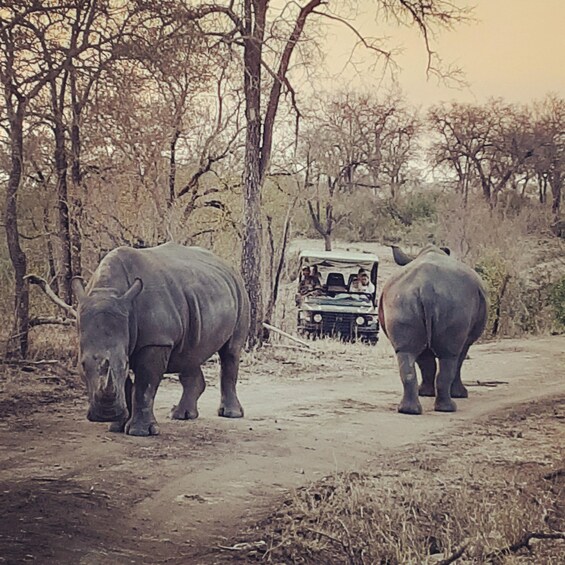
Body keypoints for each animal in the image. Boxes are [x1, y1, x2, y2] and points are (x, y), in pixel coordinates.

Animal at [72, 242, 249, 436]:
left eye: (126, 364)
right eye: (82, 365)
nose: (105, 415)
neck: (107, 291)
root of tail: (228, 265)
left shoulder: (156, 340)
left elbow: (144, 385)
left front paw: (140, 432)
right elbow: (126, 385)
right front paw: (117, 426)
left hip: (240, 291)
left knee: (230, 352)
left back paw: (230, 414)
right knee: (189, 354)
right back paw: (181, 415)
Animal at [376, 243, 486, 414]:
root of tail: (426, 286)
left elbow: (425, 362)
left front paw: (425, 393)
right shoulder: (467, 339)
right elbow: (458, 359)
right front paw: (460, 394)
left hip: (401, 299)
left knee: (406, 351)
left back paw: (409, 410)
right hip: (455, 301)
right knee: (450, 355)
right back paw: (448, 408)